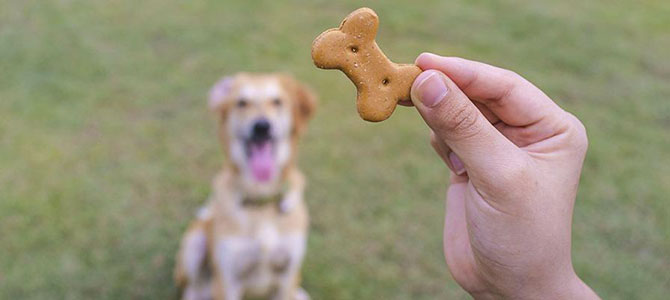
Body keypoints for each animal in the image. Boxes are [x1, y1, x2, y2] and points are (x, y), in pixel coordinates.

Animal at [176, 73, 318, 300]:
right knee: (192, 289)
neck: (261, 198)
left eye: (277, 101)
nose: (261, 126)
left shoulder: (288, 274)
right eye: (241, 103)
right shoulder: (227, 281)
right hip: (194, 242)